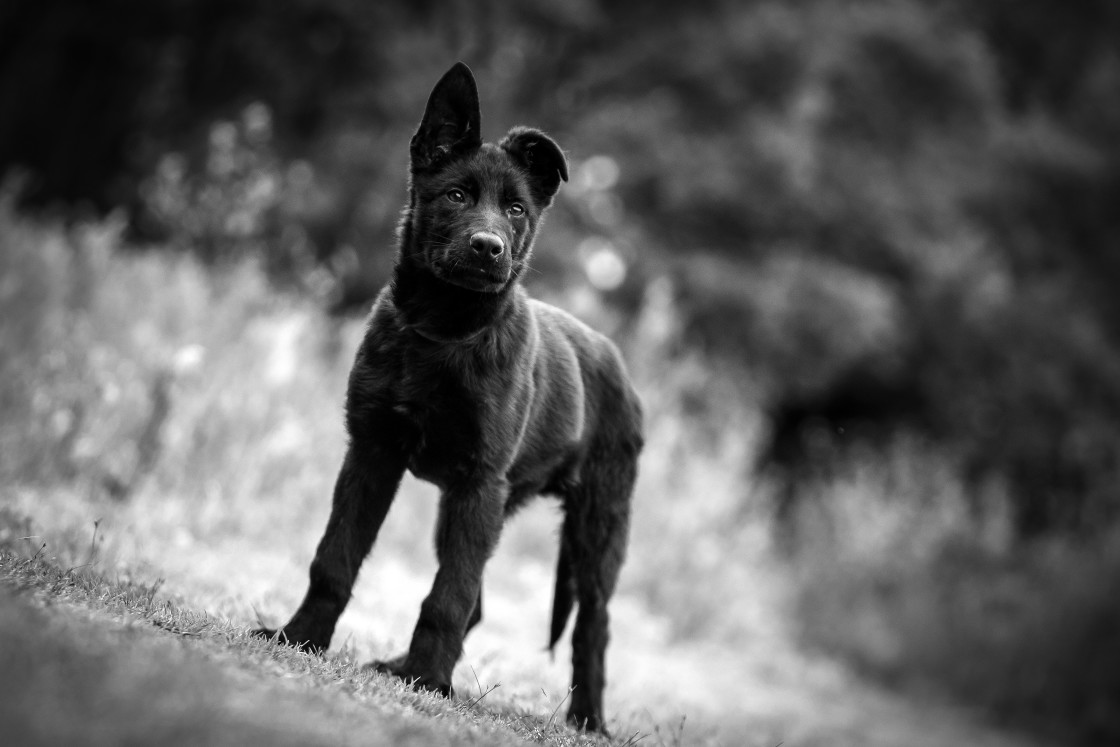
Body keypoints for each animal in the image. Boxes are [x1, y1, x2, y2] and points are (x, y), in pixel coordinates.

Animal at [253, 61, 640, 734]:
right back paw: (399, 664)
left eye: (516, 209)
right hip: (483, 509)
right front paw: (300, 638)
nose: (488, 247)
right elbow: (335, 559)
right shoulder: (373, 454)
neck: (445, 331)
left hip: (595, 526)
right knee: (478, 601)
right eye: (457, 195)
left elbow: (448, 596)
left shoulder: (478, 481)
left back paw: (588, 718)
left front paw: (430, 683)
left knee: (591, 625)